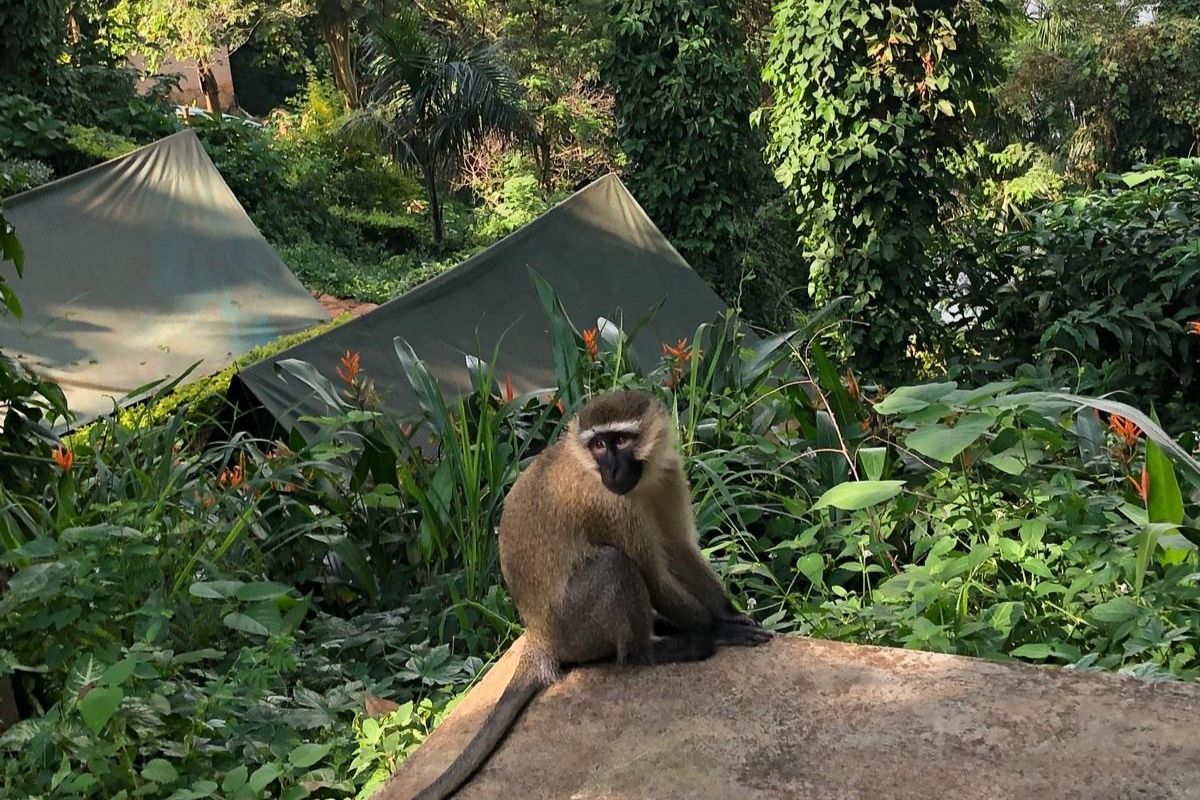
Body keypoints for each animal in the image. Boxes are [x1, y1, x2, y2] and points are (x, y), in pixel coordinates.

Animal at [405, 389, 770, 800]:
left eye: (622, 440)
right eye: (598, 445)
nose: (612, 471)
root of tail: (539, 639)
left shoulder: (668, 473)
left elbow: (678, 550)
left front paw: (729, 613)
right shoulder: (609, 504)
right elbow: (653, 576)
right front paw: (720, 630)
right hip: (575, 627)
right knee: (615, 566)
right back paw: (652, 651)